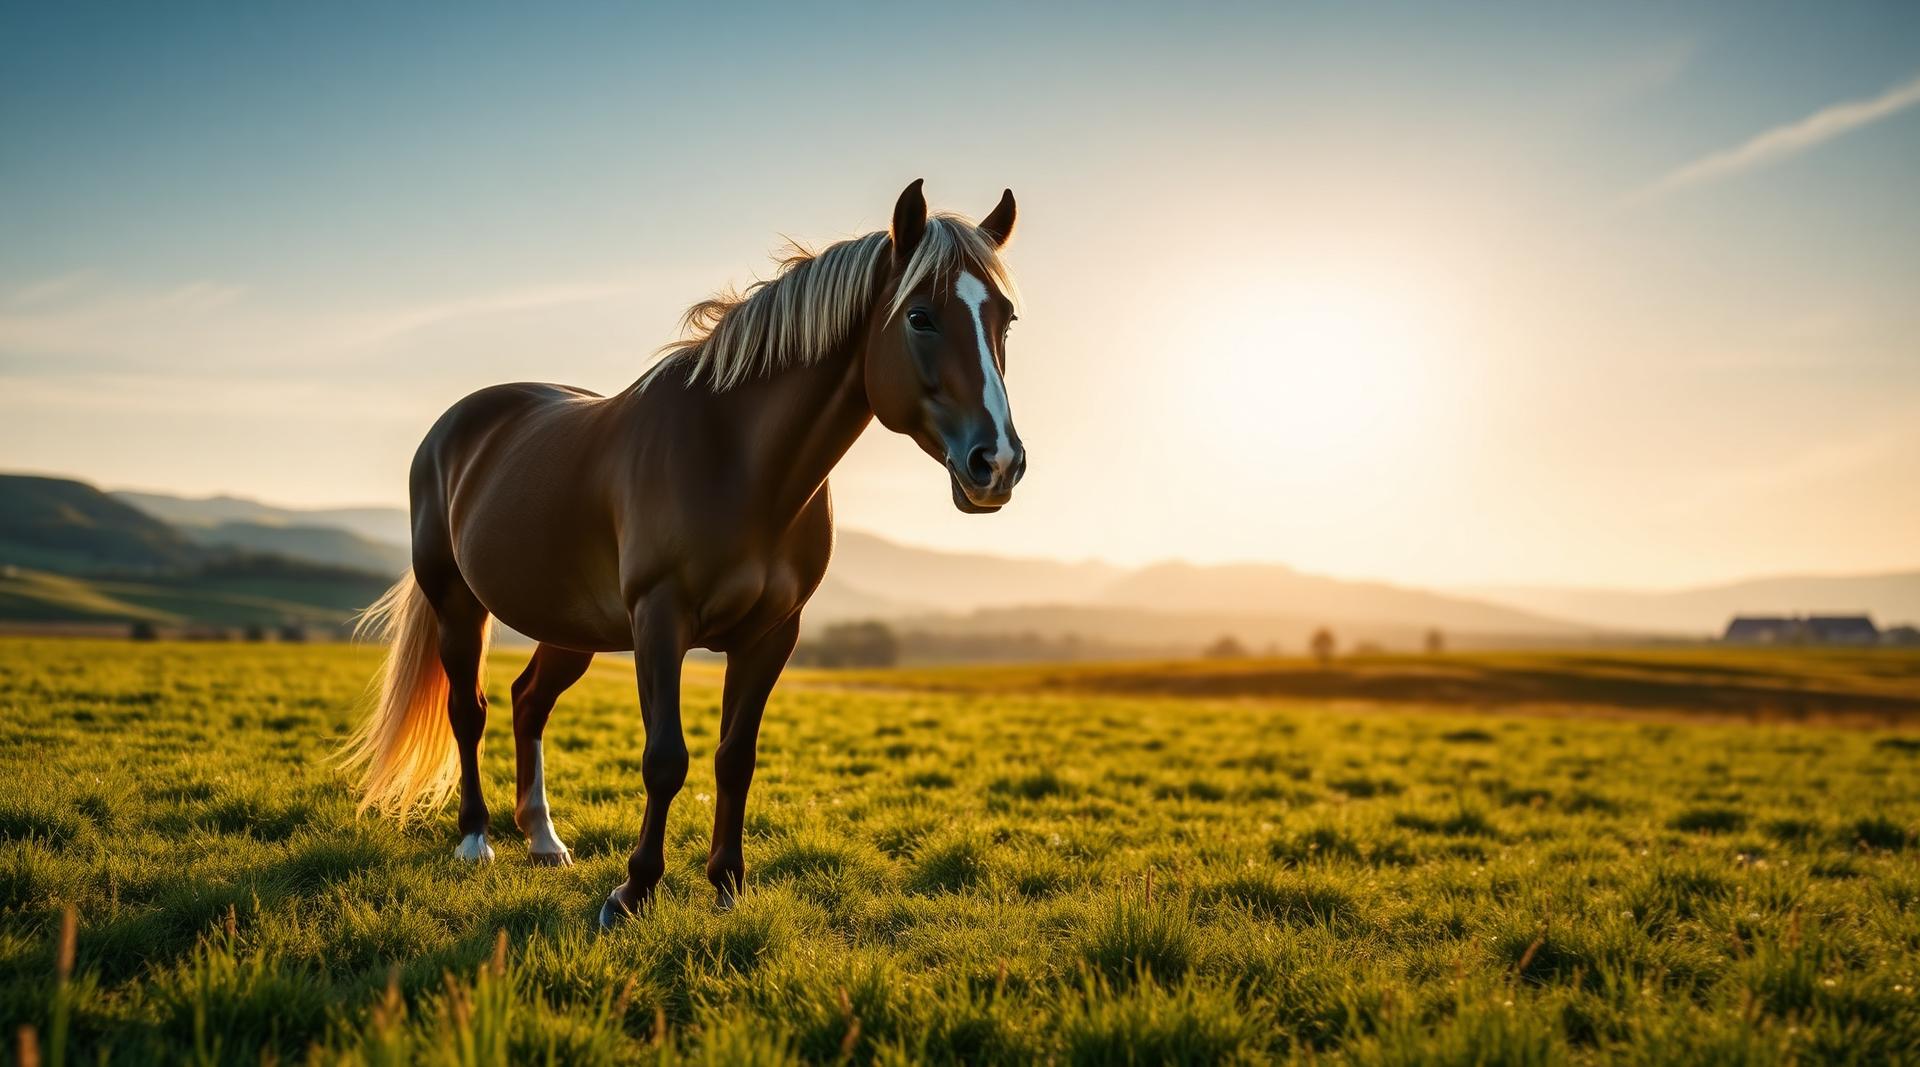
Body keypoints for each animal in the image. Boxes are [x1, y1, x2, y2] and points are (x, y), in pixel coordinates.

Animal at [338, 180, 1025, 926]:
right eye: (921, 317)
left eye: (1006, 320)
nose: (997, 463)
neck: (740, 464)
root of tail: (456, 426)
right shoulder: (659, 620)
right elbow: (666, 758)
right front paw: (632, 891)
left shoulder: (771, 634)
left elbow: (735, 757)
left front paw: (727, 884)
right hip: (457, 604)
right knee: (471, 709)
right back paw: (475, 840)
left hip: (571, 628)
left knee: (528, 702)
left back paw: (544, 839)